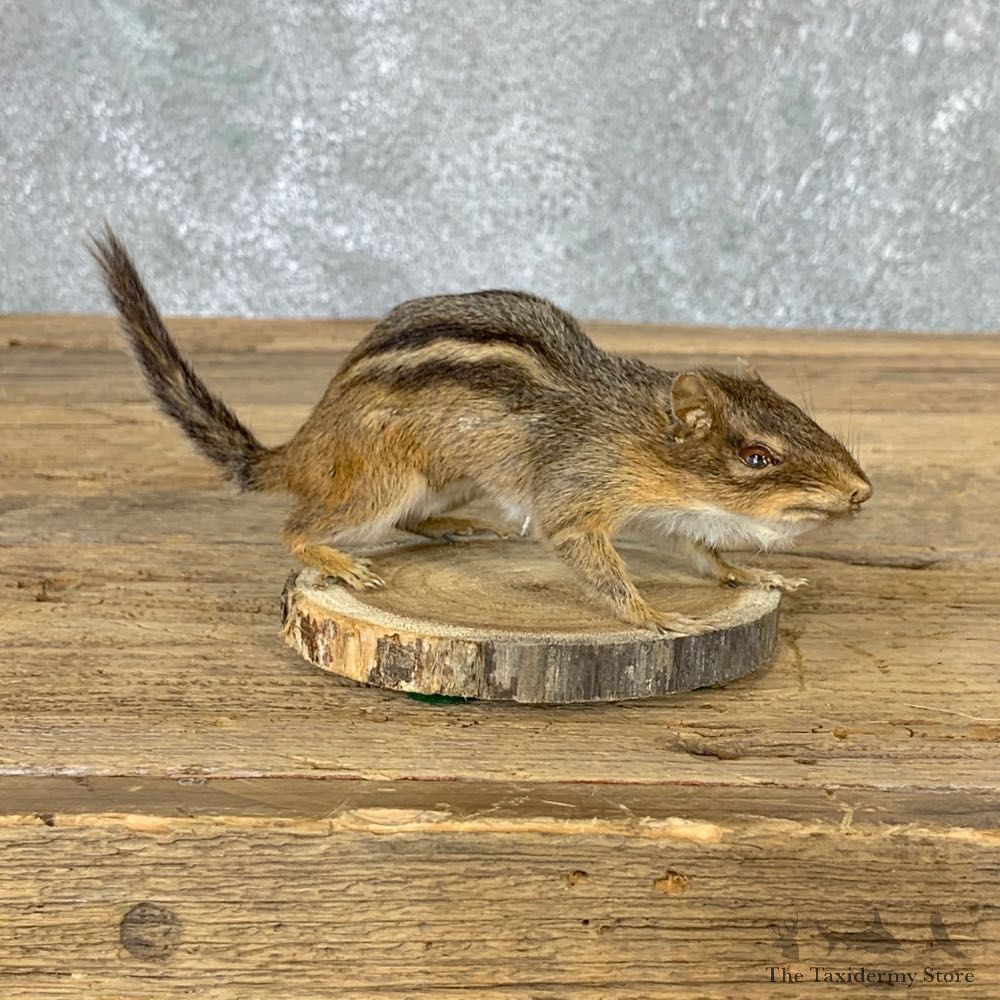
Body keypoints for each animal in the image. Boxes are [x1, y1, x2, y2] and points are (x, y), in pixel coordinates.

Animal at [90, 226, 872, 634]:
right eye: (757, 456)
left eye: (804, 418)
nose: (862, 493)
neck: (637, 432)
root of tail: (308, 443)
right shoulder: (578, 495)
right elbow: (592, 557)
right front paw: (650, 614)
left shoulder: (668, 515)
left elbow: (707, 554)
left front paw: (757, 571)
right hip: (382, 477)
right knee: (300, 526)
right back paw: (340, 559)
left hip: (445, 483)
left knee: (409, 522)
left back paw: (457, 528)